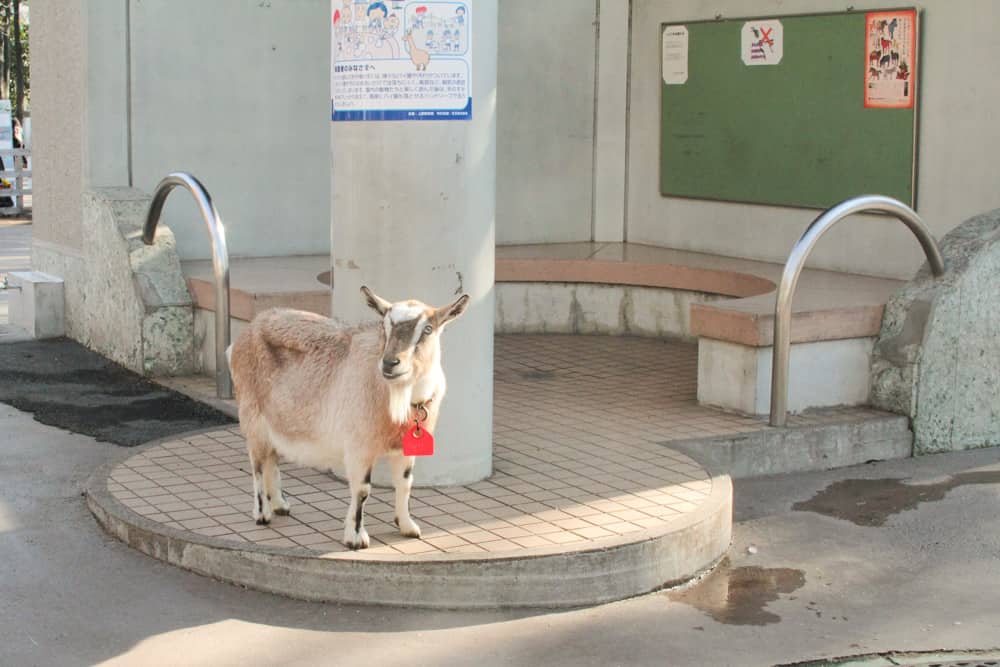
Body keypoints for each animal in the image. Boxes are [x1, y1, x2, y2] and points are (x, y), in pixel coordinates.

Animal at [229, 284, 470, 552]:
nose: (390, 363)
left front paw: (407, 526)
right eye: (384, 326)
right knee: (257, 463)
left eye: (427, 329)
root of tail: (248, 330)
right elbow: (362, 490)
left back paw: (280, 504)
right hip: (252, 416)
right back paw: (262, 514)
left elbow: (405, 483)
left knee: (271, 457)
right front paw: (355, 538)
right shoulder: (359, 447)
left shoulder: (404, 449)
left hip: (275, 419)